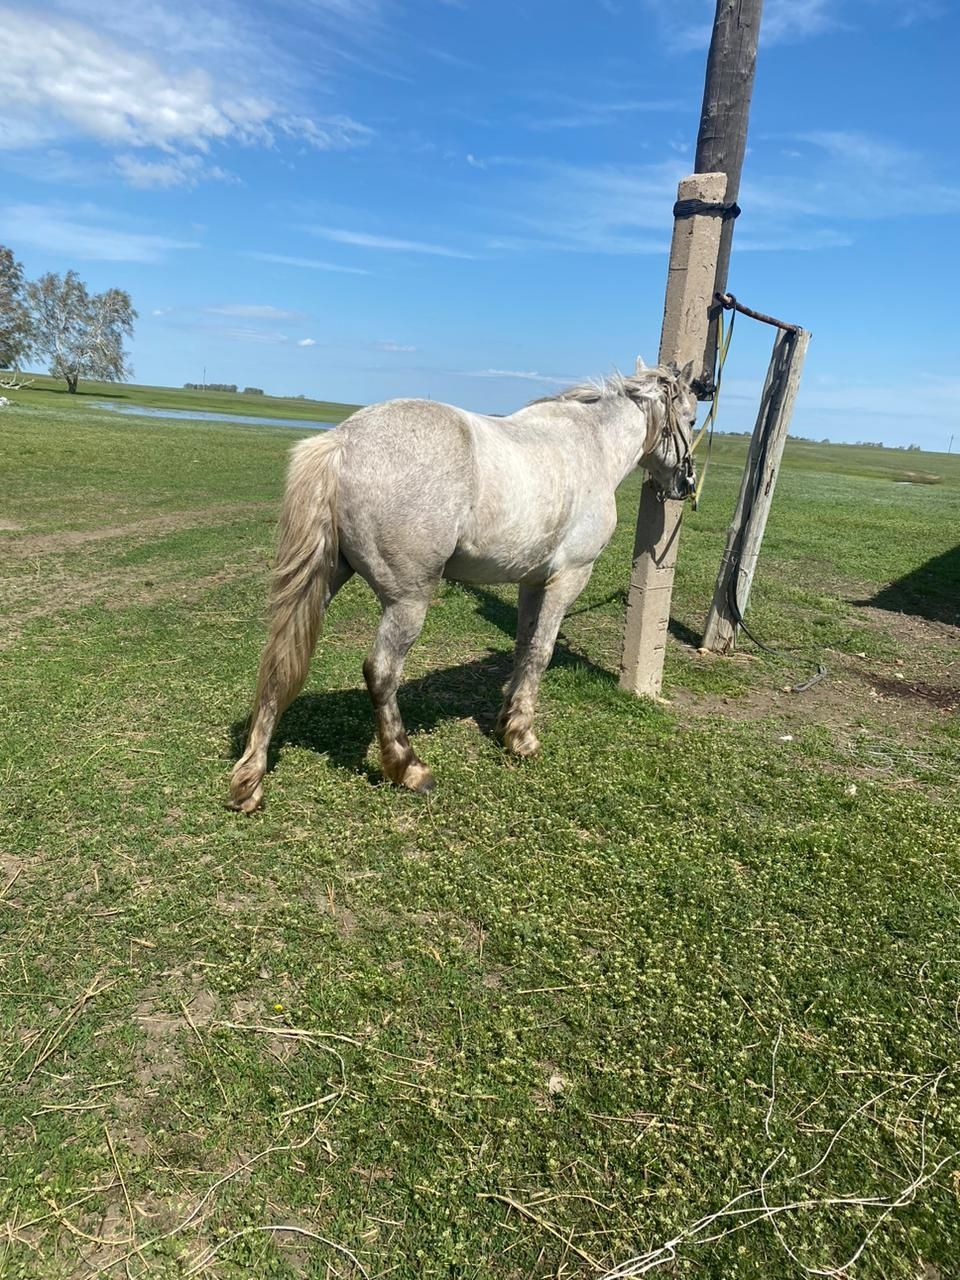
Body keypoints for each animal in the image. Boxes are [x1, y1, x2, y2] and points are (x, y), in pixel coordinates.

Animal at [231, 355, 701, 808]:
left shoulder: (532, 581)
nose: (685, 484)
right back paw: (407, 767)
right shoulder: (569, 577)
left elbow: (523, 649)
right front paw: (523, 738)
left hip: (325, 579)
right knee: (380, 672)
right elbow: (542, 653)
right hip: (408, 601)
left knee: (279, 661)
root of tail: (343, 441)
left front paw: (506, 723)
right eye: (693, 419)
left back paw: (250, 778)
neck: (592, 446)